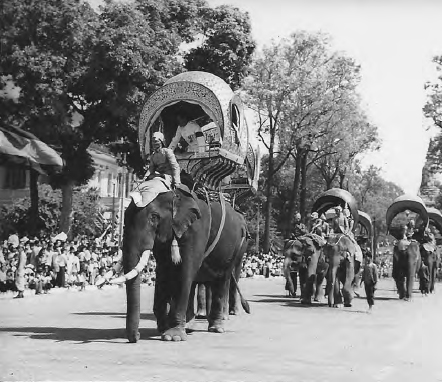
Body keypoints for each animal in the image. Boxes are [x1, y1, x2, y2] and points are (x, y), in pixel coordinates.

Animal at [110, 184, 249, 342]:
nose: (136, 337)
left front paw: (172, 336)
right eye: (125, 217)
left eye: (154, 217)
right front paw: (164, 328)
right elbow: (163, 272)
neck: (175, 193)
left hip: (235, 249)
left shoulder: (196, 230)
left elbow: (185, 271)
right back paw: (190, 326)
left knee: (222, 280)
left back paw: (216, 328)